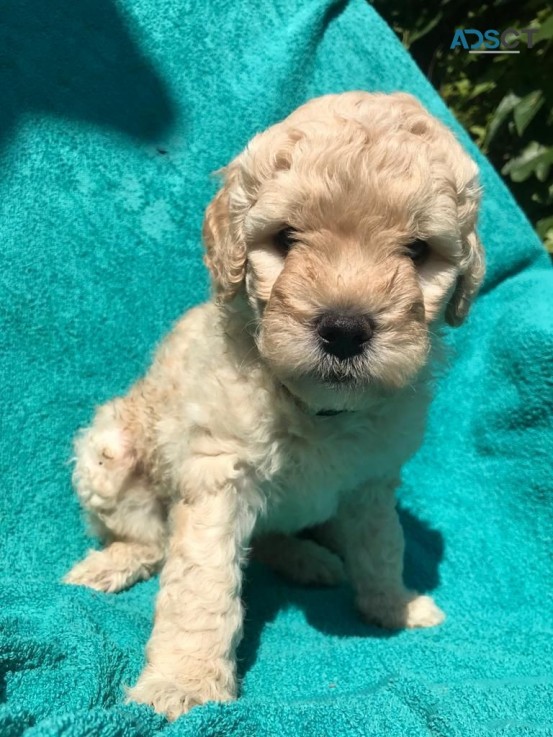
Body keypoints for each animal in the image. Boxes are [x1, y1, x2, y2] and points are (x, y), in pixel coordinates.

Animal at [64, 92, 484, 720]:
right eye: (286, 238)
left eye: (418, 250)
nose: (344, 329)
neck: (316, 408)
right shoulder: (218, 475)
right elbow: (202, 585)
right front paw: (184, 683)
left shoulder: (373, 482)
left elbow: (383, 545)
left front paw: (395, 605)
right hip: (110, 451)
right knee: (151, 540)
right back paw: (110, 564)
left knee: (268, 540)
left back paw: (309, 561)